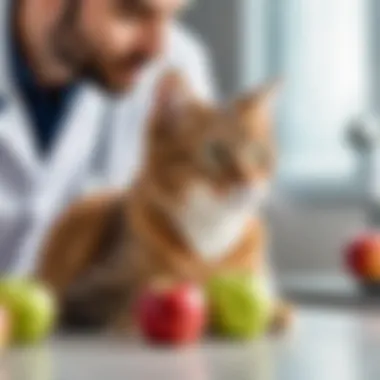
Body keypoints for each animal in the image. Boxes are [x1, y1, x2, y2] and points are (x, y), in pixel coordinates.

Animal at [35, 71, 290, 332]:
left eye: (258, 154)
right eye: (215, 152)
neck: (210, 231)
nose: (248, 184)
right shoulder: (87, 294)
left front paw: (274, 311)